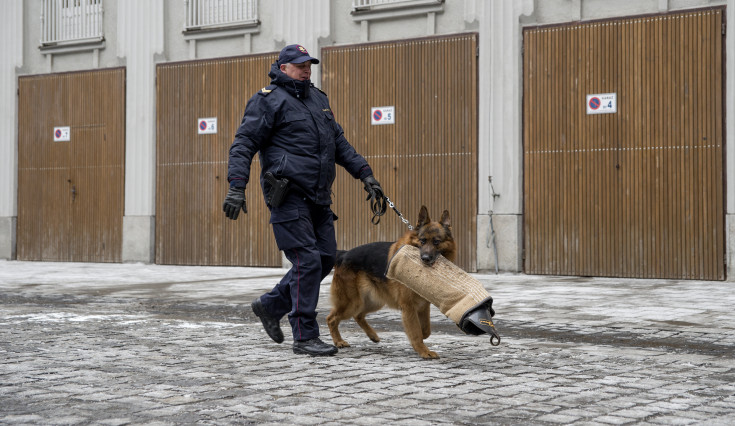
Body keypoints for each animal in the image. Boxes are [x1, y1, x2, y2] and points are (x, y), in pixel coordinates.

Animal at [326, 206, 454, 360]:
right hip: (351, 303)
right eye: (422, 241)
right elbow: (416, 331)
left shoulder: (423, 305)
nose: (425, 258)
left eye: (436, 242)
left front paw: (420, 340)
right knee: (331, 318)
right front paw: (423, 351)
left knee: (358, 315)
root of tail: (343, 254)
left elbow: (425, 330)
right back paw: (338, 341)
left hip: (374, 302)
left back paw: (372, 335)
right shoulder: (409, 307)